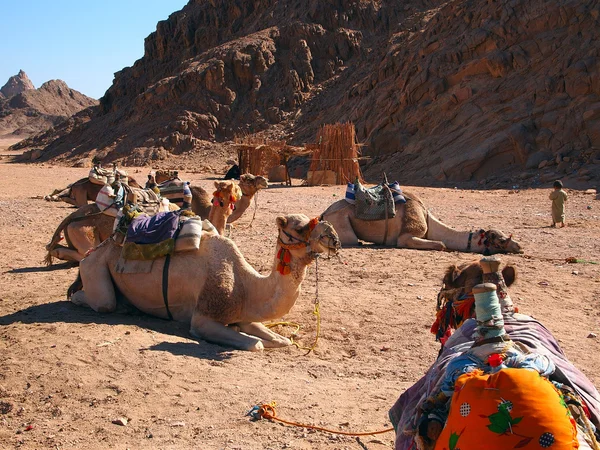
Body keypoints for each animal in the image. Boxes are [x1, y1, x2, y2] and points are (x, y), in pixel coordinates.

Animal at [68, 214, 340, 352]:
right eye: (300, 227)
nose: (334, 238)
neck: (246, 284)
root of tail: (96, 249)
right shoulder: (202, 318)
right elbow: (257, 345)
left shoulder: (244, 313)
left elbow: (281, 340)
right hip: (95, 268)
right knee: (100, 301)